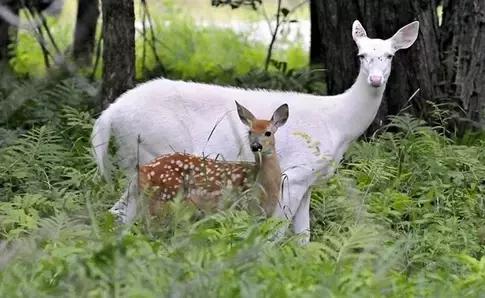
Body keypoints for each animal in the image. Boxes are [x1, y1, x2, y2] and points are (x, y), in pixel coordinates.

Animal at [91, 19, 420, 243]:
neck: (337, 124)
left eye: (390, 55)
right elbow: (277, 229)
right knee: (123, 213)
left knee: (117, 212)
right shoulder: (294, 173)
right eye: (361, 55)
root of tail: (109, 115)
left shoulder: (311, 179)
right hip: (151, 151)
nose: (375, 80)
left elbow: (304, 236)